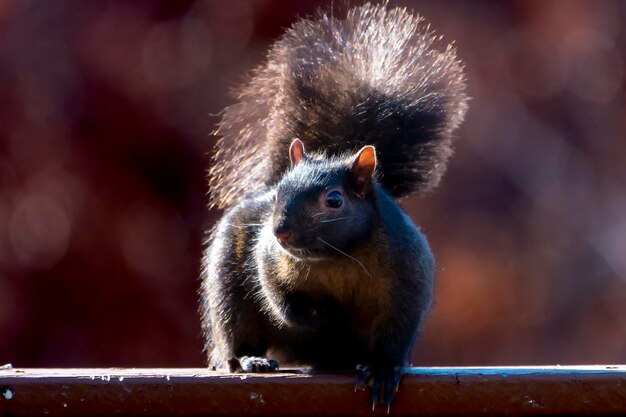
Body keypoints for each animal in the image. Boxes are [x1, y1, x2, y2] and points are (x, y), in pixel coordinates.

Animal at [197, 1, 466, 408]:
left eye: (334, 200)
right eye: (278, 193)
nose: (280, 232)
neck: (335, 257)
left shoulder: (408, 277)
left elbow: (397, 331)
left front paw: (383, 369)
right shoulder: (269, 260)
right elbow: (281, 301)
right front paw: (325, 319)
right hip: (229, 289)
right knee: (235, 333)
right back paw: (250, 359)